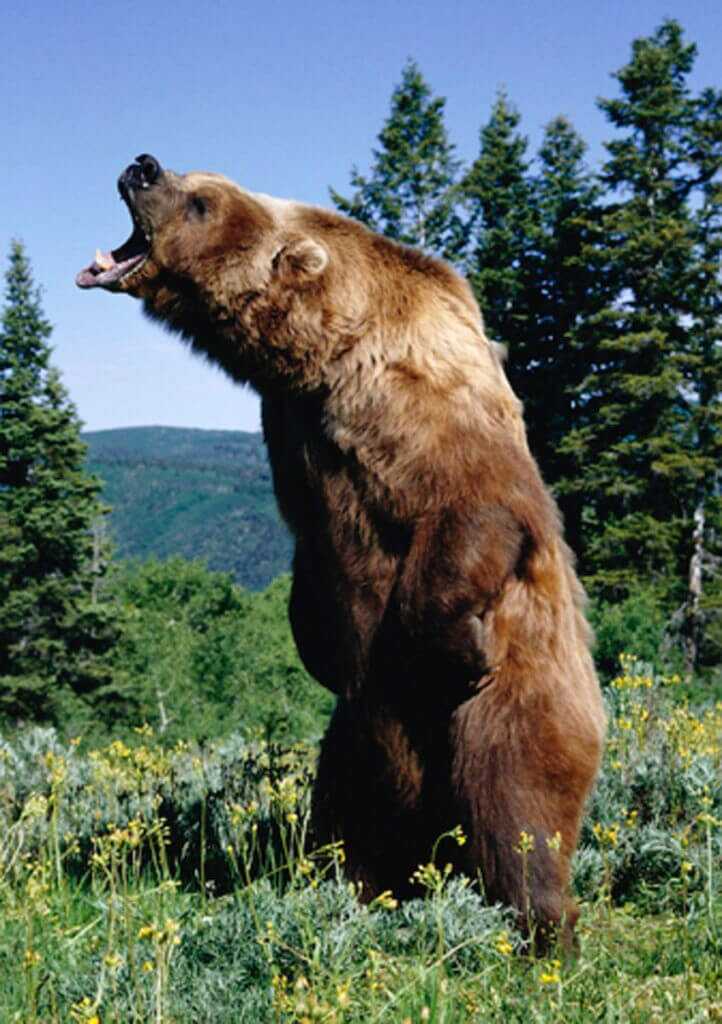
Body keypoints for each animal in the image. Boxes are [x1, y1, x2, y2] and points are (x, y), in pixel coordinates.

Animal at [77, 154, 606, 948]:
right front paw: (317, 644)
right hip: (356, 739)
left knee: (516, 803)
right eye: (191, 179)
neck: (326, 351)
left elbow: (474, 508)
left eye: (201, 201)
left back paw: (540, 927)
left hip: (525, 696)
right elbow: (313, 561)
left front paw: (455, 643)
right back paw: (354, 894)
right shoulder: (294, 433)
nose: (142, 166)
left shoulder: (421, 399)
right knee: (349, 817)